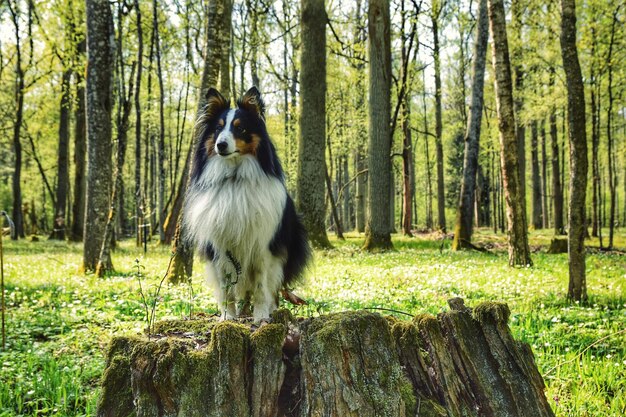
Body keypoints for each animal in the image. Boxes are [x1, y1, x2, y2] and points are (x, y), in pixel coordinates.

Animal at [183, 86, 310, 322]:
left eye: (240, 128)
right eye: (218, 128)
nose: (221, 145)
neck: (235, 178)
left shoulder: (262, 244)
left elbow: (261, 285)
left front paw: (261, 316)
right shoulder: (220, 245)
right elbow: (226, 287)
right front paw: (227, 317)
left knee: (272, 287)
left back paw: (271, 309)